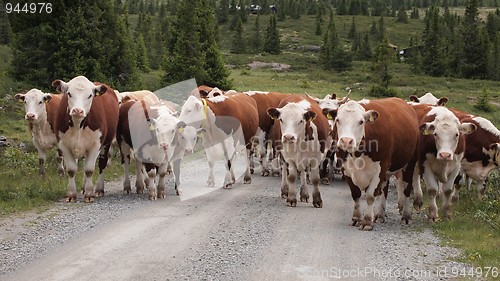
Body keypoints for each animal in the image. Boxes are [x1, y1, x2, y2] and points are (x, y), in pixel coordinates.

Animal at [326, 97, 420, 229]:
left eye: (361, 122)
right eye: (338, 120)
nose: (346, 141)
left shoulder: (380, 169)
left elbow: (370, 195)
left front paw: (367, 221)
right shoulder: (346, 169)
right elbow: (355, 194)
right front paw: (356, 218)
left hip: (409, 163)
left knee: (406, 188)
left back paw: (406, 216)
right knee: (384, 190)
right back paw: (380, 215)